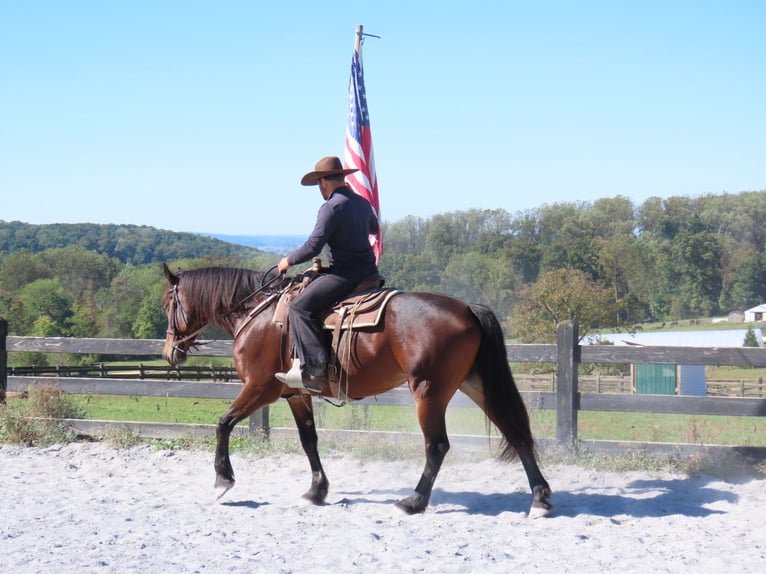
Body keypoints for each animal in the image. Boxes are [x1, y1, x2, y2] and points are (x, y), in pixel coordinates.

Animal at [161, 263, 552, 517]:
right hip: (476, 384)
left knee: (437, 445)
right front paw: (316, 491)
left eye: (169, 303)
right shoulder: (296, 394)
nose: (170, 352)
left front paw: (222, 480)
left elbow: (223, 423)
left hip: (429, 391)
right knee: (515, 431)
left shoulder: (261, 388)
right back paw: (539, 498)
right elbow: (309, 440)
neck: (258, 315)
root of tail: (468, 307)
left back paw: (414, 501)